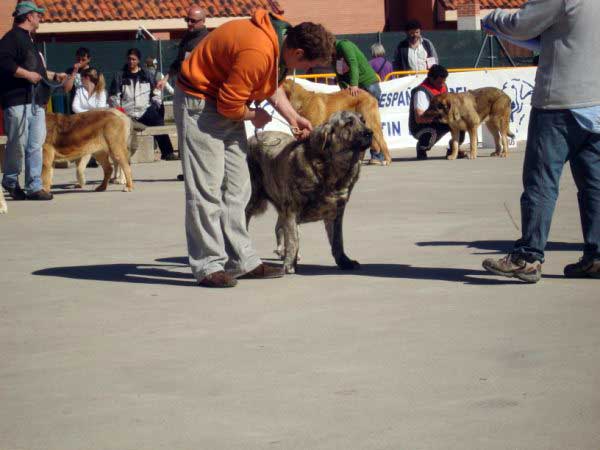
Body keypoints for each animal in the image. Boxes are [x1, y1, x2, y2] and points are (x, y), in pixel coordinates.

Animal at [246, 110, 372, 272]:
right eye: (348, 123)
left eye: (363, 120)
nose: (370, 133)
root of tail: (251, 138)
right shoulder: (291, 209)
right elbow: (293, 239)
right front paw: (289, 265)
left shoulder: (337, 212)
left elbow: (338, 241)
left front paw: (344, 261)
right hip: (253, 199)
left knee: (279, 227)